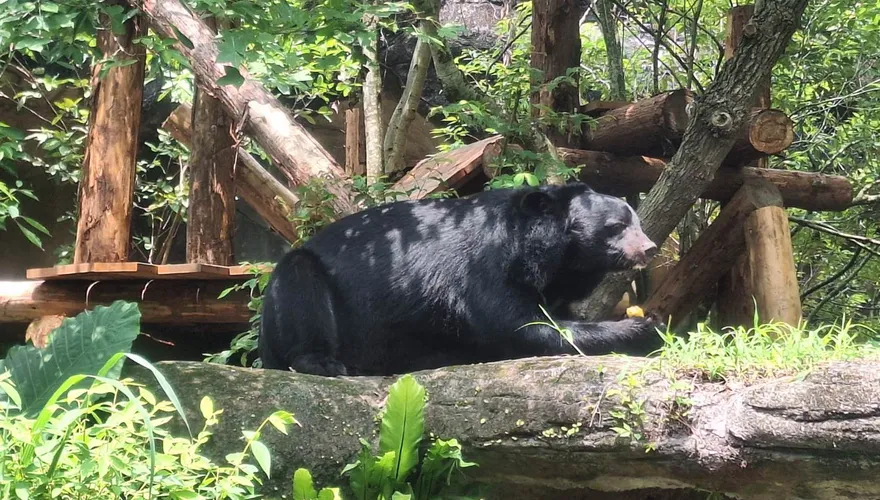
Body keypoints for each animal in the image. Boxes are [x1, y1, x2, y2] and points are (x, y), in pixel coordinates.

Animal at [258, 182, 663, 377]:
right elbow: (520, 326)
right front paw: (644, 329)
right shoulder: (485, 265)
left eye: (637, 222)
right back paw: (324, 363)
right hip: (301, 287)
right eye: (616, 226)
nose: (650, 248)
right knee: (301, 288)